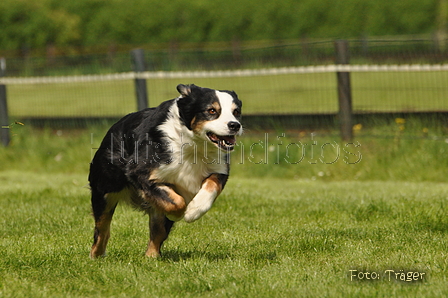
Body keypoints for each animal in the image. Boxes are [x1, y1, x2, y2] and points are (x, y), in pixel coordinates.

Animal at [88, 84, 242, 258]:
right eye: (211, 110)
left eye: (236, 112)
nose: (235, 125)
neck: (193, 146)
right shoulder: (141, 172)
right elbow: (177, 203)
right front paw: (180, 213)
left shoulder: (219, 168)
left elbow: (212, 185)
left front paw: (194, 210)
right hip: (104, 190)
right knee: (102, 228)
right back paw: (96, 255)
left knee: (157, 233)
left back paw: (151, 258)